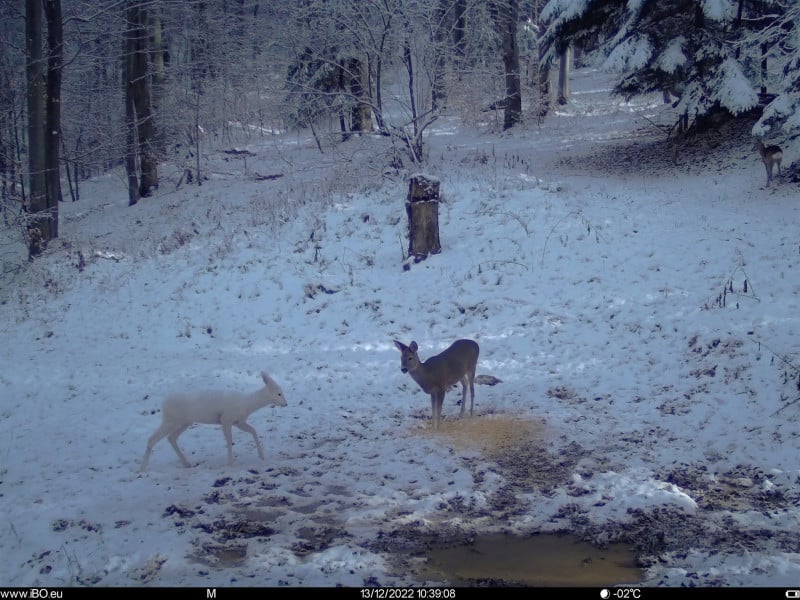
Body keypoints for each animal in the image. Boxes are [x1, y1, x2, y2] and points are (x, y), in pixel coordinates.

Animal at [139, 368, 286, 472]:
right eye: (279, 393)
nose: (286, 404)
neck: (246, 404)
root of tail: (164, 404)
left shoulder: (239, 422)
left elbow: (253, 431)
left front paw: (261, 456)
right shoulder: (226, 419)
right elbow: (229, 440)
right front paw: (230, 463)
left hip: (184, 422)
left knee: (171, 438)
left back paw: (186, 463)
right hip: (171, 420)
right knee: (152, 438)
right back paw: (142, 468)